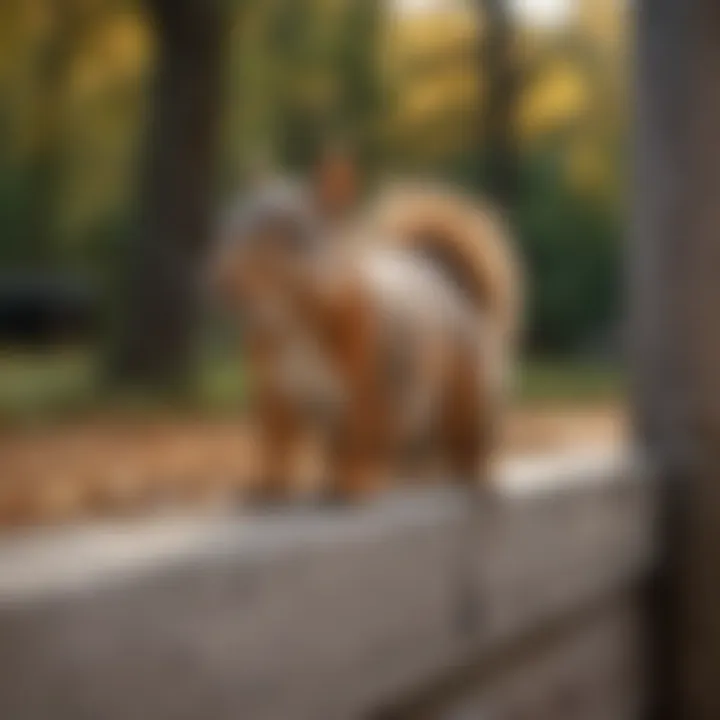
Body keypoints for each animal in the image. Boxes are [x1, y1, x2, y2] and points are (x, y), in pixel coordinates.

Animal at [211, 152, 520, 500]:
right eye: (229, 228)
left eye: (292, 236)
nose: (223, 280)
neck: (294, 323)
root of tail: (452, 291)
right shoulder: (275, 393)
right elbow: (276, 444)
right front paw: (267, 483)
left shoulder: (373, 385)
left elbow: (362, 439)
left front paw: (355, 480)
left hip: (467, 400)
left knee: (462, 445)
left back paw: (466, 472)